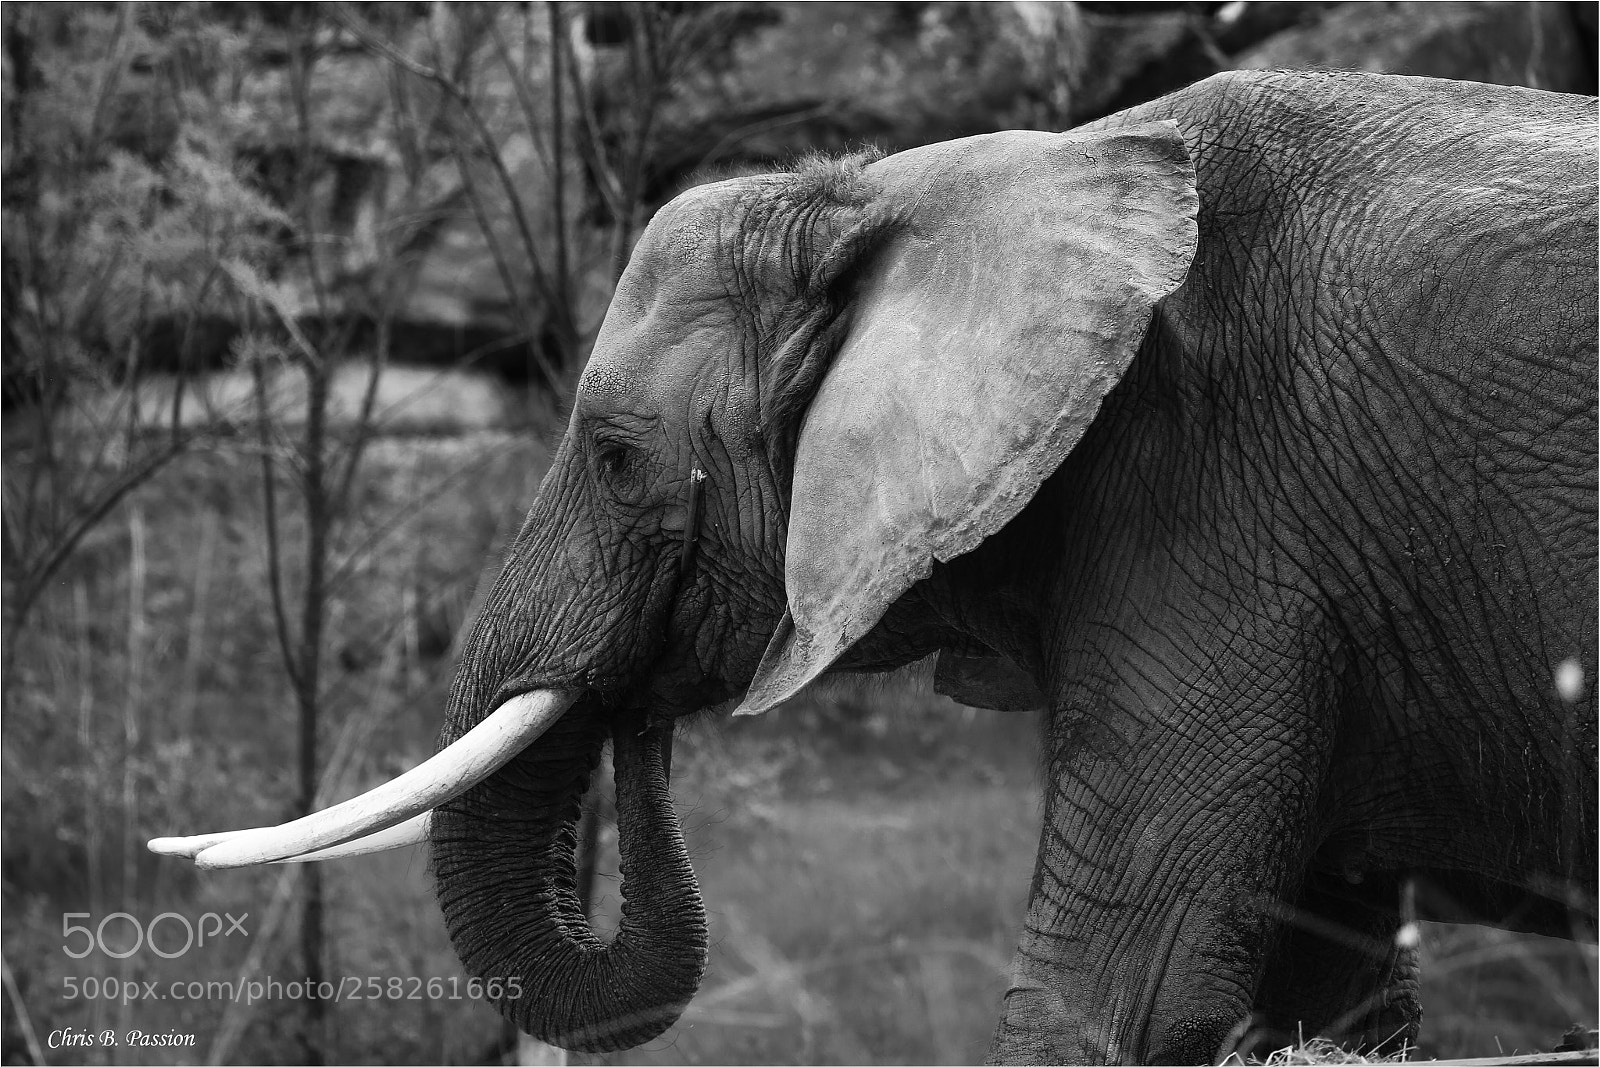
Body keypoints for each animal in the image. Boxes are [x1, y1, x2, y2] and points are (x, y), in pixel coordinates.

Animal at [151, 70, 1598, 1064]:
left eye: (616, 457)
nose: (642, 691)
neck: (920, 187)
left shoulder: (1223, 515)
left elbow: (1115, 995)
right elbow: (1323, 991)